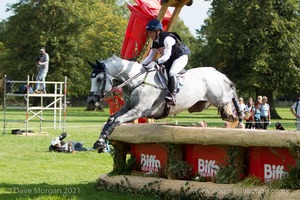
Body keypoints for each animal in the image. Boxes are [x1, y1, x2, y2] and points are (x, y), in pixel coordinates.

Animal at [87, 55, 239, 151]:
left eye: (99, 79)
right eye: (91, 79)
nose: (91, 101)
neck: (136, 81)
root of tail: (217, 73)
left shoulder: (139, 110)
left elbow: (116, 121)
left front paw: (101, 142)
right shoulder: (128, 107)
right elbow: (111, 119)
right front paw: (100, 142)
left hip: (218, 97)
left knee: (231, 95)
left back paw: (236, 113)